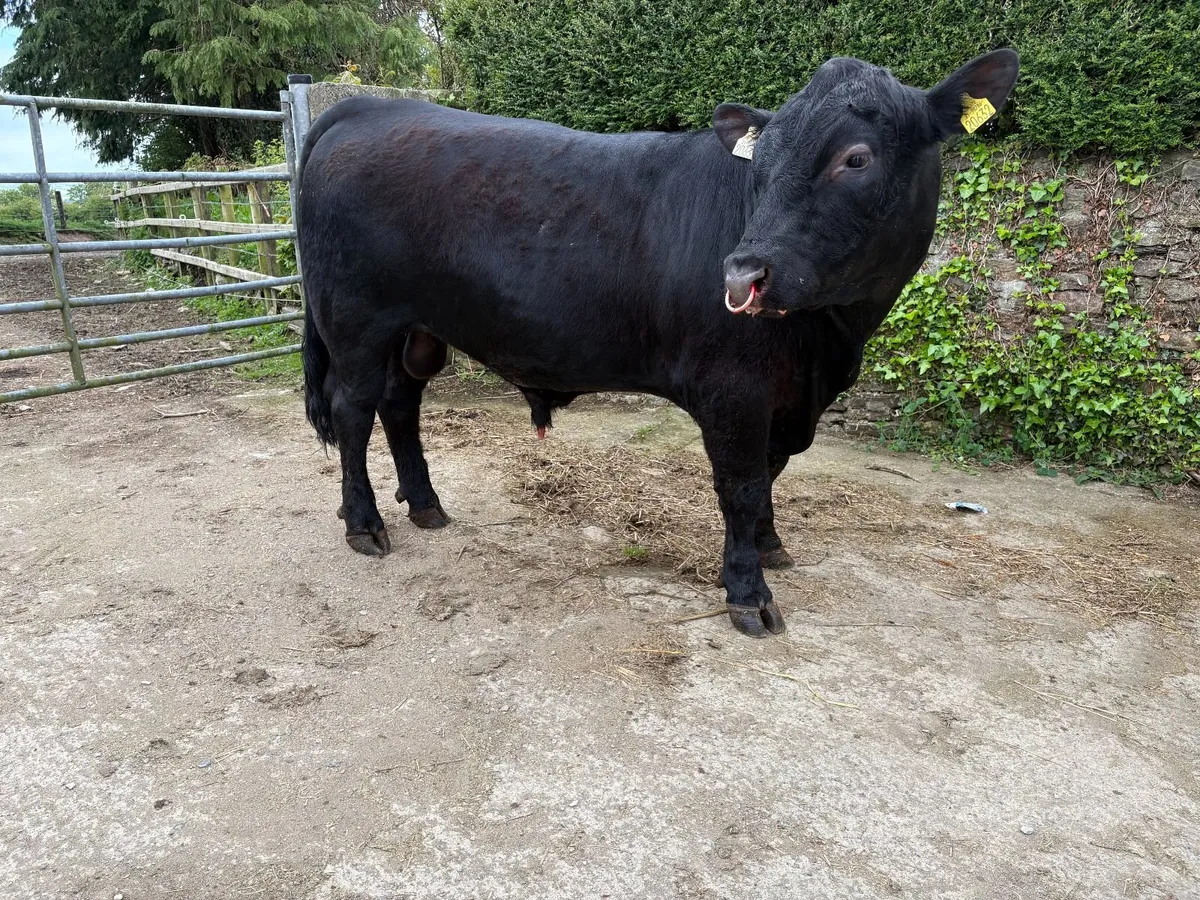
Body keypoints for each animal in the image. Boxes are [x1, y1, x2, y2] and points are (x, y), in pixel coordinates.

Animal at [297, 50, 1019, 638]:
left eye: (857, 157)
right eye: (764, 163)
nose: (742, 275)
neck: (833, 336)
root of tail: (368, 105)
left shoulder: (785, 400)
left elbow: (770, 475)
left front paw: (769, 546)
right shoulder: (734, 390)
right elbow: (743, 484)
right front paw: (748, 593)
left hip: (417, 331)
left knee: (401, 404)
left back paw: (426, 505)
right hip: (356, 323)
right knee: (354, 412)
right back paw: (364, 524)